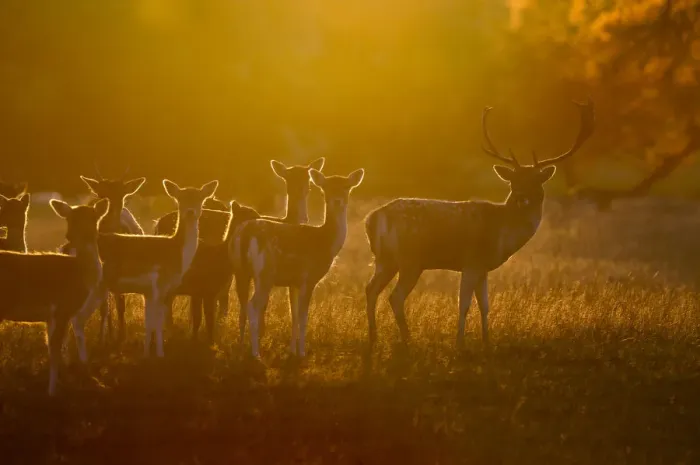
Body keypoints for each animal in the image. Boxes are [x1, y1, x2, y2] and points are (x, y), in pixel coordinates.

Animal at [0, 197, 109, 396]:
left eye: (93, 218)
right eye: (70, 218)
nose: (70, 236)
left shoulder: (51, 316)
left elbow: (51, 348)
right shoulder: (63, 308)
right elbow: (56, 349)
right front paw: (52, 392)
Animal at [62, 174, 147, 343]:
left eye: (122, 195)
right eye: (101, 193)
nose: (109, 211)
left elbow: (120, 305)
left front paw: (121, 337)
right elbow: (104, 308)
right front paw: (104, 337)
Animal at [95, 179, 218, 357]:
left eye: (200, 198)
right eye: (180, 199)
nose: (190, 212)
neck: (176, 253)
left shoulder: (150, 291)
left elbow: (150, 322)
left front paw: (147, 353)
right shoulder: (160, 286)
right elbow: (158, 321)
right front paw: (160, 354)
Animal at [233, 167, 365, 358]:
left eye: (347, 186)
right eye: (325, 188)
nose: (337, 201)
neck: (326, 242)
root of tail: (245, 235)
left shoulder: (294, 282)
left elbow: (293, 314)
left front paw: (292, 350)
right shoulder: (308, 278)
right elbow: (303, 317)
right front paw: (302, 353)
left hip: (240, 271)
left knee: (242, 306)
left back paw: (243, 346)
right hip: (265, 273)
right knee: (253, 305)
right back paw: (256, 353)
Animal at [364, 99, 595, 349]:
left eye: (536, 181)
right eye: (513, 181)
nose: (521, 197)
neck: (501, 233)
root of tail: (372, 219)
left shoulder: (483, 267)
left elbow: (484, 305)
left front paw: (486, 341)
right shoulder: (471, 262)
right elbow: (463, 304)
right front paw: (460, 343)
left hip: (386, 260)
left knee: (370, 289)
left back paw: (373, 337)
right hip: (411, 260)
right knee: (395, 297)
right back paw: (408, 340)